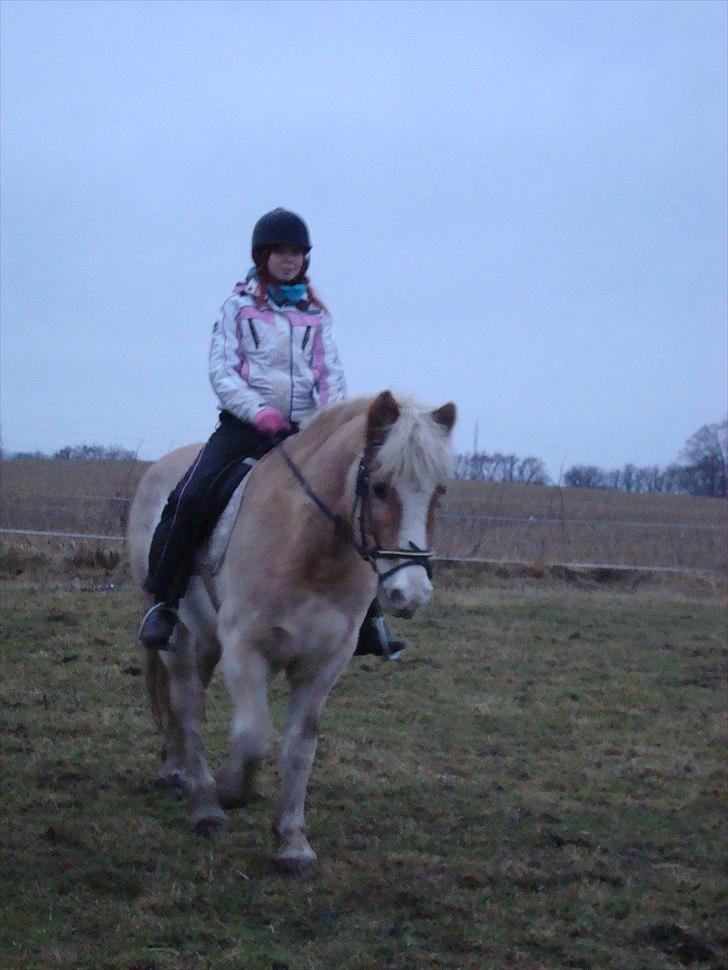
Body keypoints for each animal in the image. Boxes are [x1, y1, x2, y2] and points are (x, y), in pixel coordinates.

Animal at [126, 392, 456, 868]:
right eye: (379, 487)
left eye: (438, 493)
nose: (409, 594)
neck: (310, 550)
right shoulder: (246, 650)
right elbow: (252, 738)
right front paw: (230, 793)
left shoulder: (325, 663)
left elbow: (301, 748)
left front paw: (293, 844)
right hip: (180, 638)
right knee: (188, 706)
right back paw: (204, 804)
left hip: (205, 640)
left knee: (184, 703)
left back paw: (176, 771)